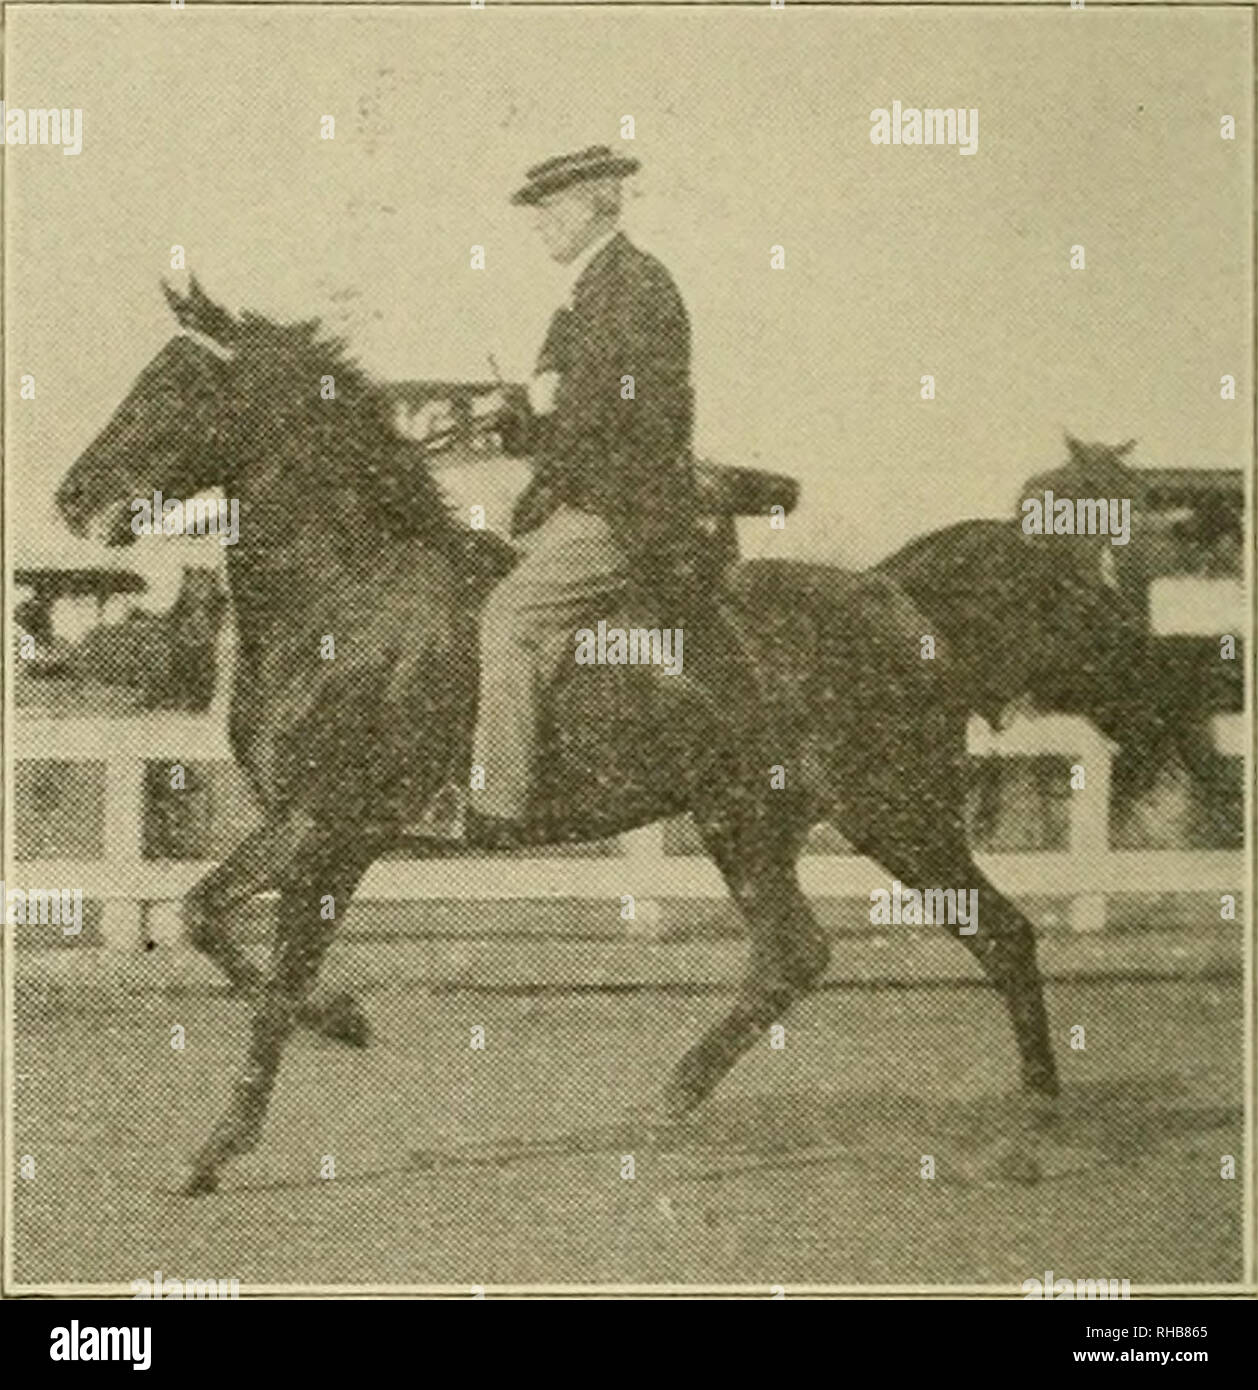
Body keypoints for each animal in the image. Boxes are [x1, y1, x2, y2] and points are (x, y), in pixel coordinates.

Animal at [56, 282, 1189, 1195]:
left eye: (177, 389)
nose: (73, 497)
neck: (353, 600)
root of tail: (898, 598)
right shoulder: (314, 829)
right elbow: (227, 934)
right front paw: (330, 1033)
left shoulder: (334, 824)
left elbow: (244, 949)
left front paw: (237, 1126)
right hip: (749, 818)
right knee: (798, 951)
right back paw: (670, 1101)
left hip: (895, 811)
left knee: (1002, 937)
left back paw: (1028, 1134)